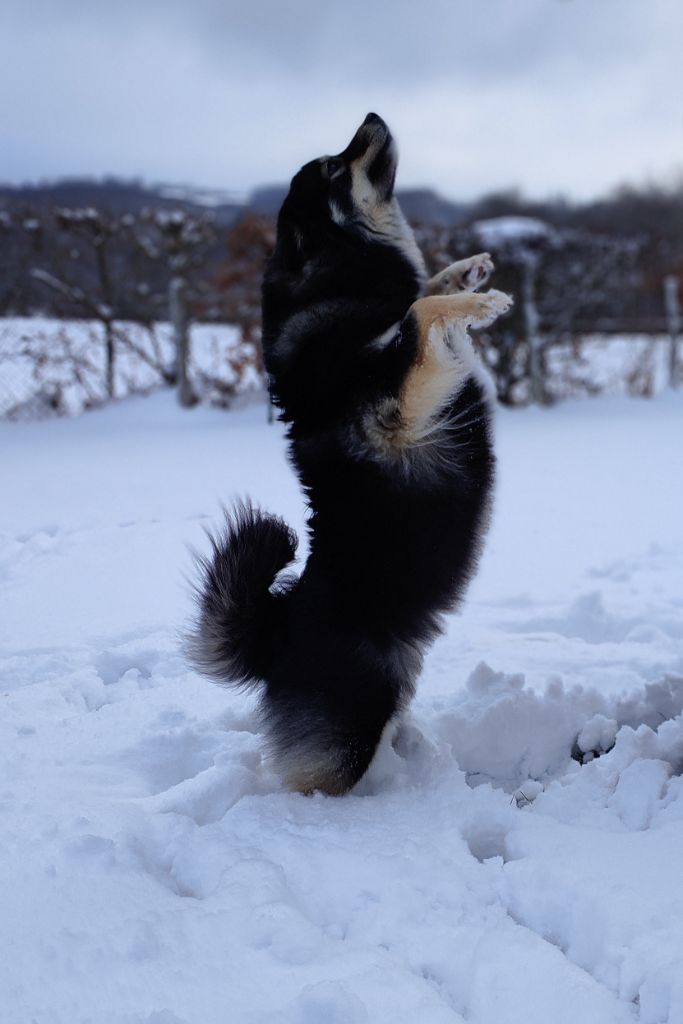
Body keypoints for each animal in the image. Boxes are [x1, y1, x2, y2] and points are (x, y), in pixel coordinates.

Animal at [188, 116, 511, 794]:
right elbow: (419, 310)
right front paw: (479, 303)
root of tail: (277, 631)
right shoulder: (397, 408)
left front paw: (468, 271)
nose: (370, 118)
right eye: (335, 167)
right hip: (349, 729)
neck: (339, 283)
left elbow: (422, 293)